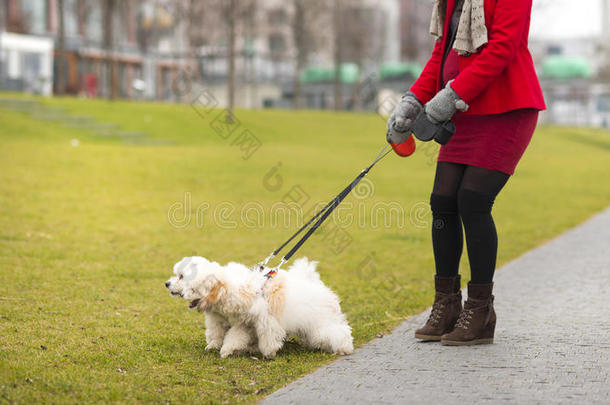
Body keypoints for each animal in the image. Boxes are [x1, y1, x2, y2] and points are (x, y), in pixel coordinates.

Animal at [164, 256, 354, 356]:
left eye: (182, 277)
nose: (167, 283)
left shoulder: (265, 320)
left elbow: (266, 337)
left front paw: (268, 352)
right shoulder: (240, 322)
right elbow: (228, 335)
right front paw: (223, 348)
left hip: (322, 324)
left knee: (339, 332)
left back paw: (344, 348)